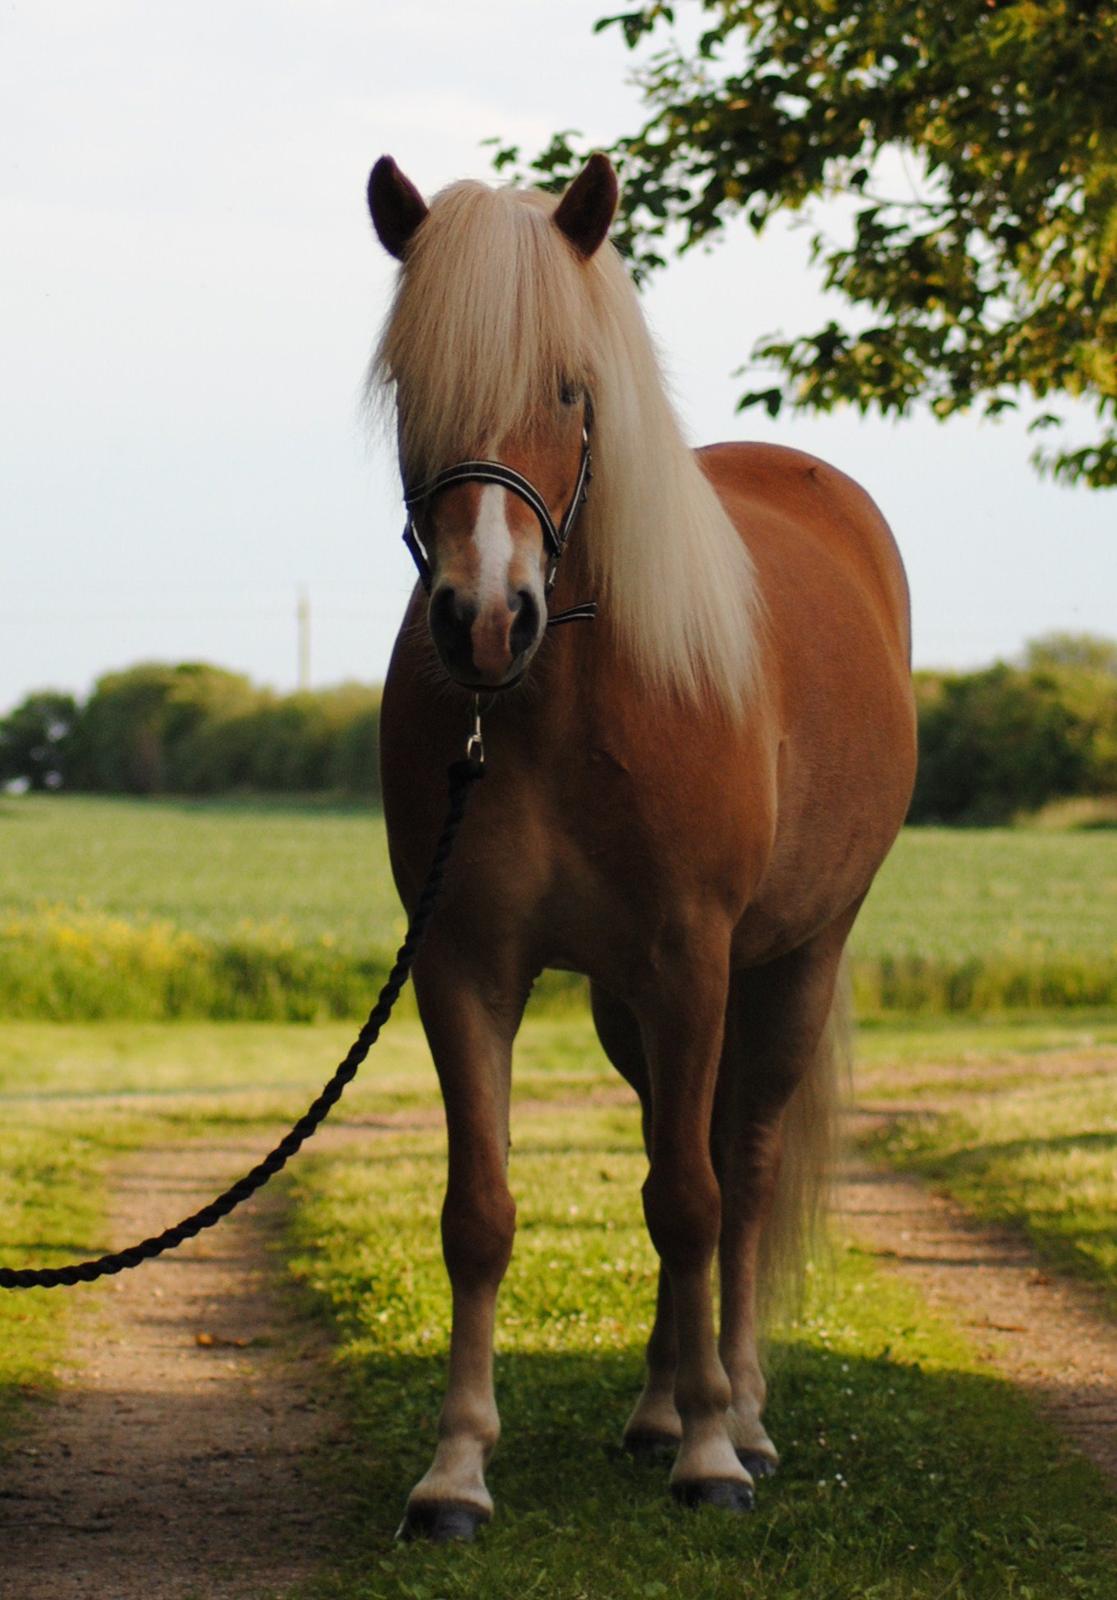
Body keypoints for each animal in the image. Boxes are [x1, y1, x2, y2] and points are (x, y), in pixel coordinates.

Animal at [364, 150, 915, 1536]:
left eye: (570, 388)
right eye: (414, 390)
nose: (483, 620)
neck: (558, 702)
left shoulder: (691, 961)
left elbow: (696, 1198)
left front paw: (714, 1457)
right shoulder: (464, 964)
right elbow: (482, 1212)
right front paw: (455, 1468)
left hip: (784, 968)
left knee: (741, 1168)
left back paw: (738, 1414)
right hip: (628, 1006)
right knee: (683, 1149)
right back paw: (668, 1401)